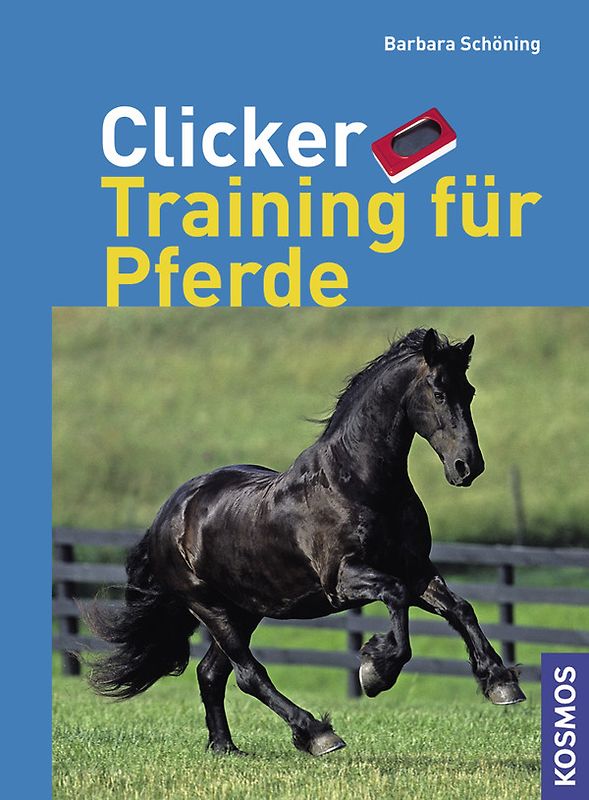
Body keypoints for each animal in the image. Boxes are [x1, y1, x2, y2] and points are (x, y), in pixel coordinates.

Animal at [87, 327, 526, 757]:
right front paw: (375, 670)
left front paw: (501, 683)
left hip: (244, 608)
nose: (467, 466)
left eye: (469, 391)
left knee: (212, 672)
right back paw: (317, 734)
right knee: (248, 674)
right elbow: (396, 597)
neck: (359, 483)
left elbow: (460, 608)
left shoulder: (416, 569)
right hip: (208, 606)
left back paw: (225, 747)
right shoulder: (345, 581)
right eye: (437, 392)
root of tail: (169, 513)